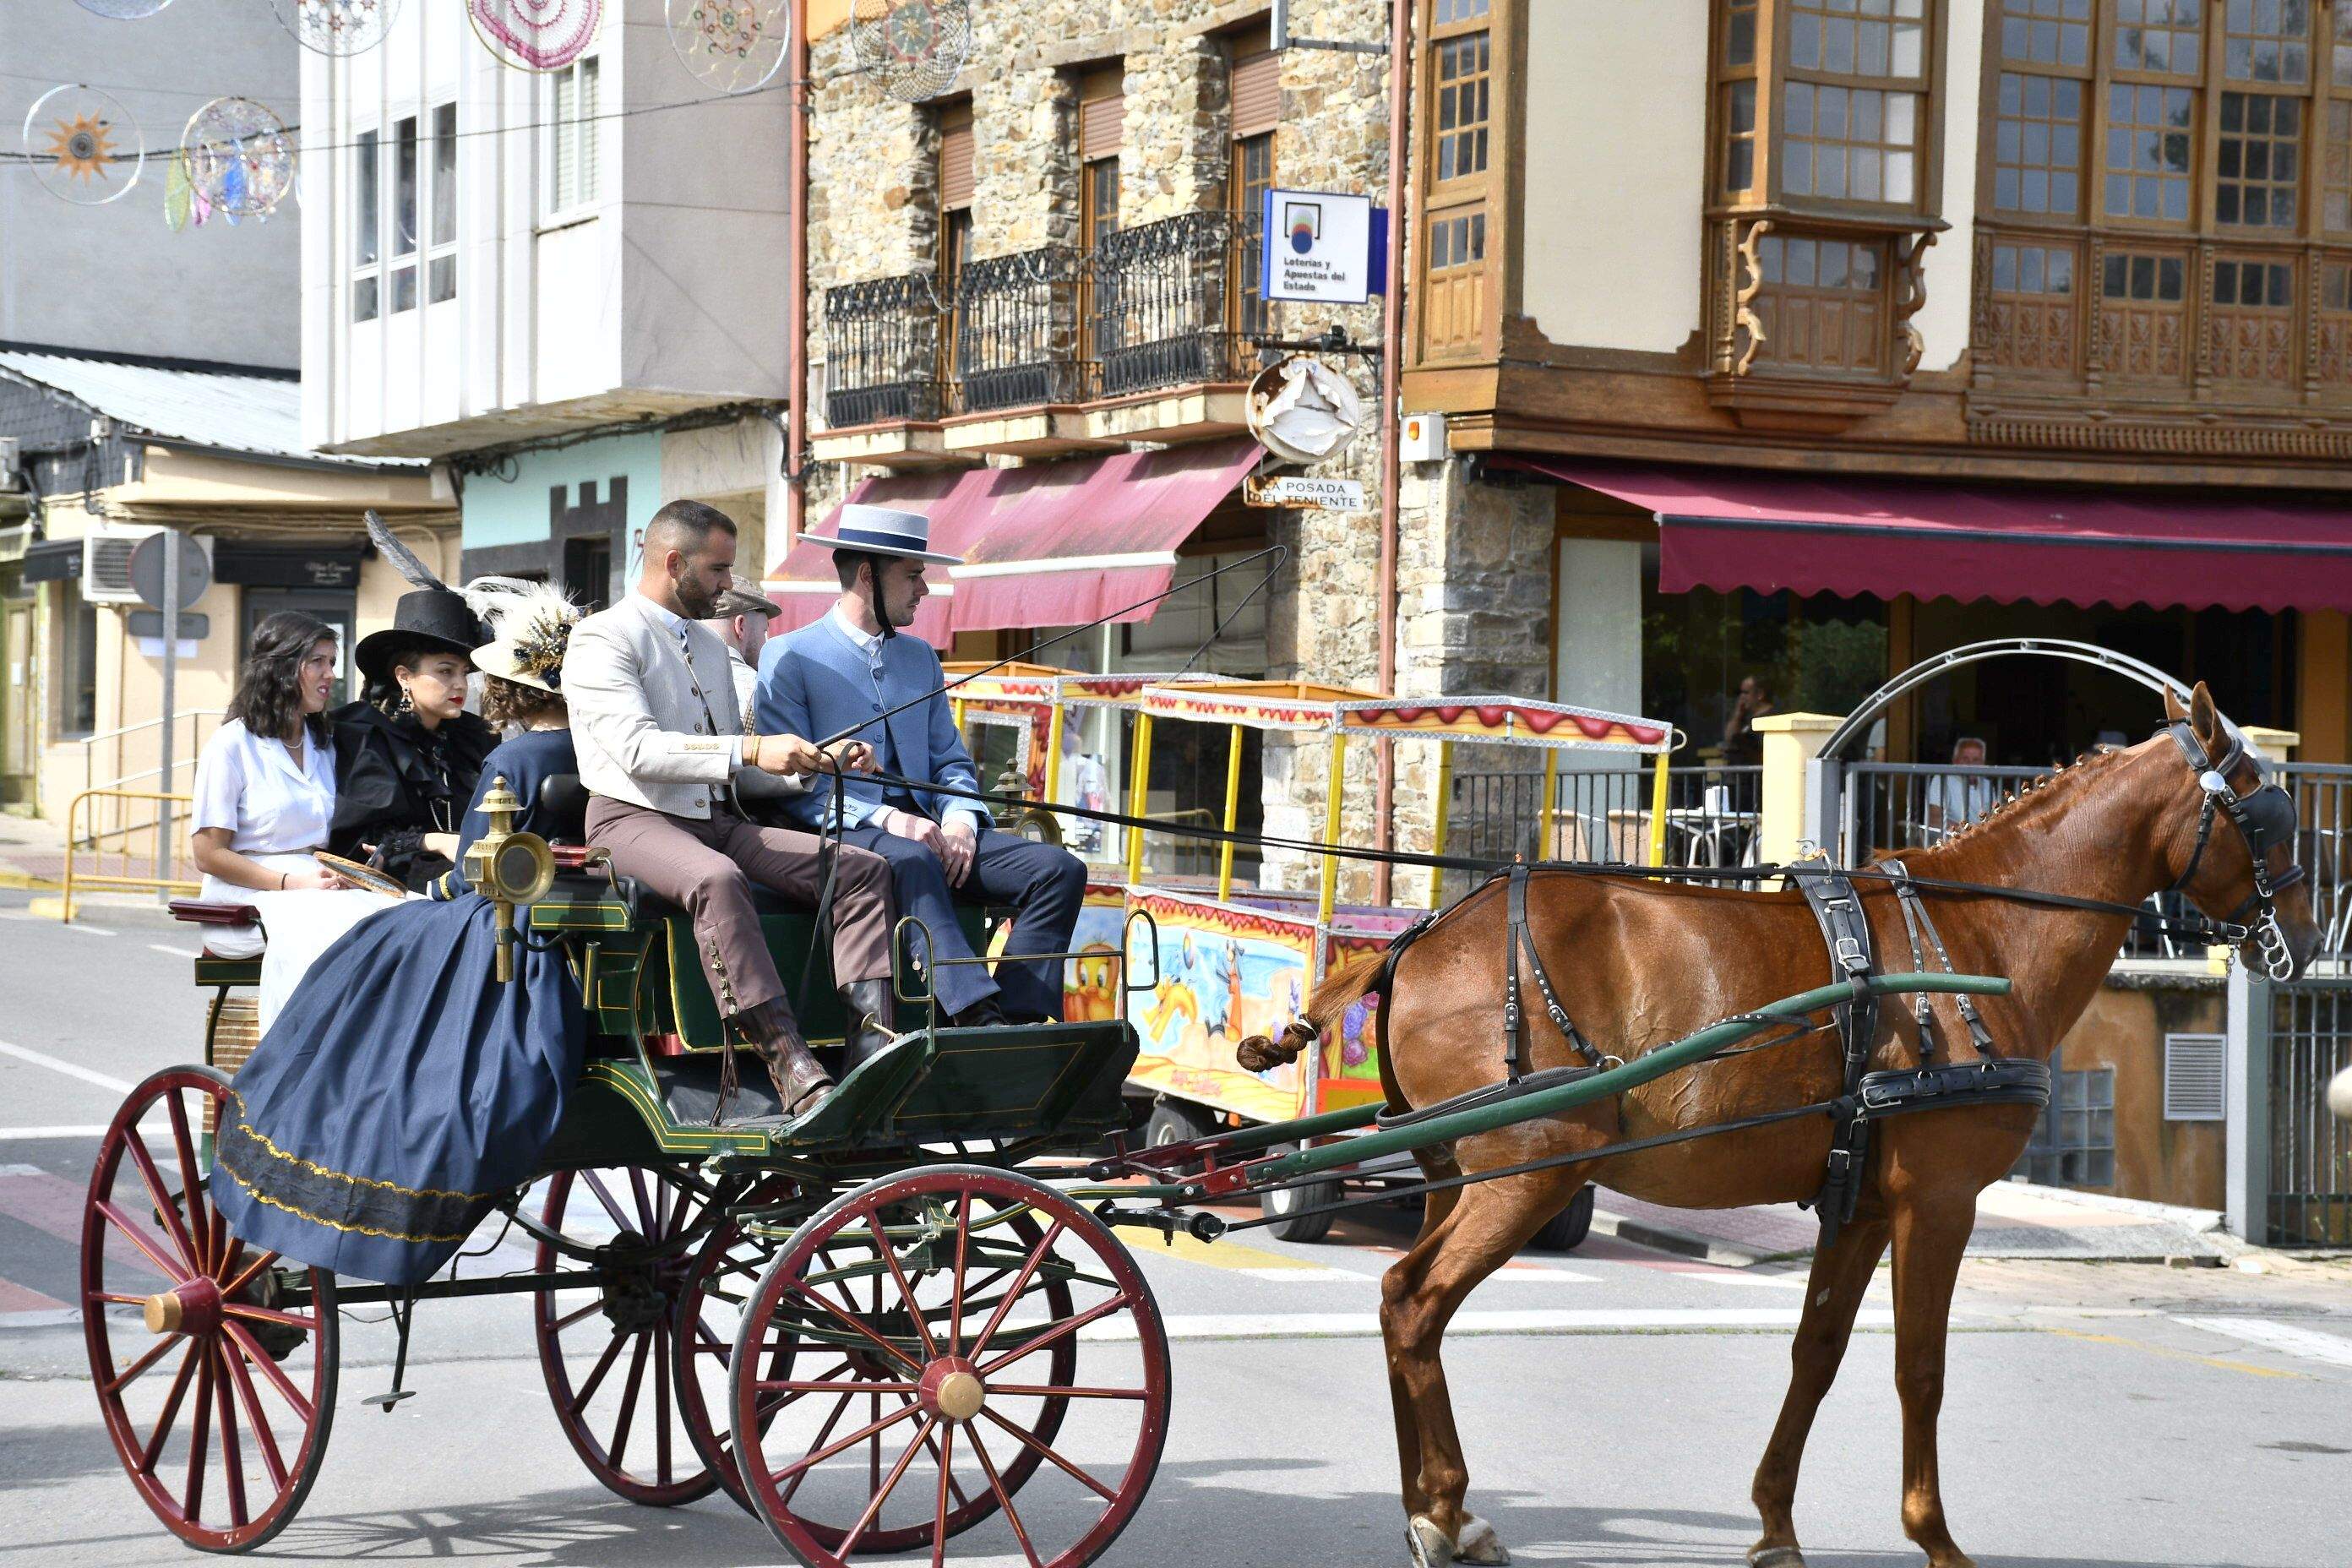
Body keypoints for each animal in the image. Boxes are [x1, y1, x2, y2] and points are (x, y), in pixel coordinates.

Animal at [1241, 686, 2323, 1568]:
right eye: (2266, 811)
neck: (1978, 934)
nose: (2309, 941)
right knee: (1416, 1301)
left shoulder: (1859, 1201)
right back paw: (1444, 1505)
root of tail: (1420, 938)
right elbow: (1920, 1368)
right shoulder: (1937, 1199)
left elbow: (1819, 1351)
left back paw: (1435, 1506)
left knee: (1402, 1304)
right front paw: (1934, 1535)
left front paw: (1774, 1521)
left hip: (1459, 1171)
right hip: (1530, 1169)